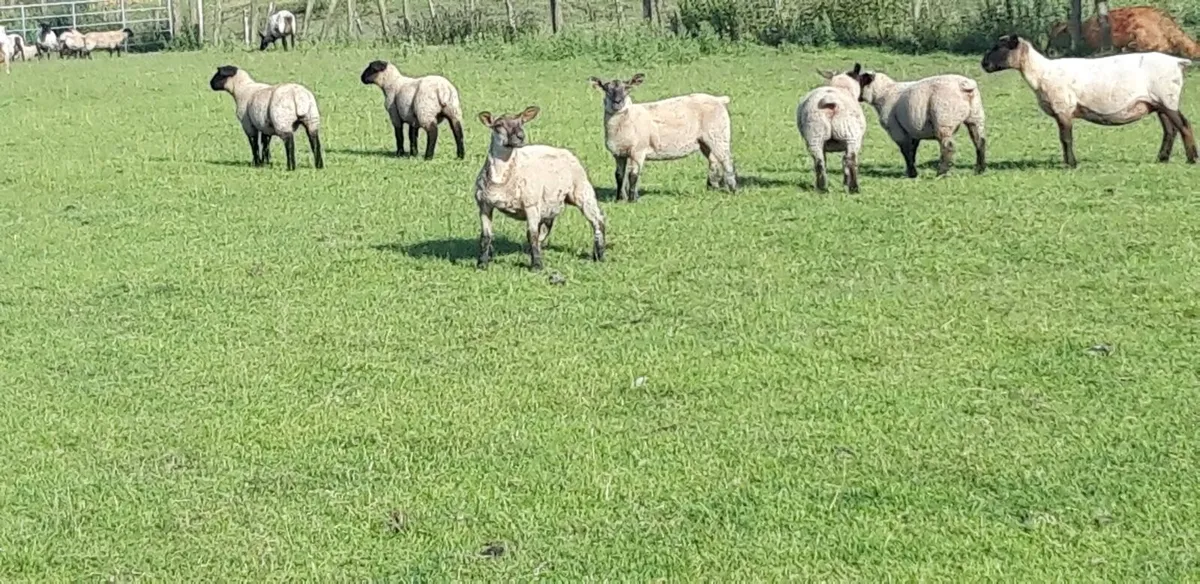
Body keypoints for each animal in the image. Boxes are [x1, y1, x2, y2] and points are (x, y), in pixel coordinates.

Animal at [474, 106, 606, 271]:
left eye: (521, 122)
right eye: (499, 125)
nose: (521, 136)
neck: (501, 179)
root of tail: (565, 151)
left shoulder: (531, 204)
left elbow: (533, 235)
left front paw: (536, 265)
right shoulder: (484, 204)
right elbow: (486, 236)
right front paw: (482, 263)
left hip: (581, 189)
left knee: (598, 220)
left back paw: (599, 255)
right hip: (550, 201)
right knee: (546, 226)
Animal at [588, 73, 736, 202]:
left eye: (627, 88)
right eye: (606, 89)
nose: (617, 102)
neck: (626, 119)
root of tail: (720, 100)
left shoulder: (638, 151)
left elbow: (633, 175)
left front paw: (632, 200)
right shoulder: (618, 153)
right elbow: (619, 175)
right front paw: (619, 199)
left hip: (718, 134)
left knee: (727, 161)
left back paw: (733, 189)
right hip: (705, 141)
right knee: (713, 161)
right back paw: (712, 188)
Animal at [795, 64, 867, 193]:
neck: (841, 86)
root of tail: (831, 101)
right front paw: (846, 182)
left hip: (815, 136)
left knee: (819, 162)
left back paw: (822, 187)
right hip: (851, 136)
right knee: (851, 160)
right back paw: (854, 188)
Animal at [851, 67, 986, 177]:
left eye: (859, 81)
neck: (884, 93)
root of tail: (964, 85)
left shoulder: (897, 130)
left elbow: (905, 151)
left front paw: (912, 173)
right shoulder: (913, 130)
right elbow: (912, 151)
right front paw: (912, 171)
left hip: (944, 119)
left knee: (948, 146)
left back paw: (941, 172)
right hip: (976, 117)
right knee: (980, 141)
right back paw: (979, 169)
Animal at [981, 34, 1197, 167]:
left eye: (1000, 47)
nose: (984, 64)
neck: (1041, 72)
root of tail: (1178, 62)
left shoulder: (1063, 107)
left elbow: (1066, 138)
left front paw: (1071, 164)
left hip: (1167, 97)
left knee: (1184, 125)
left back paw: (1192, 158)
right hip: (1158, 103)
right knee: (1170, 130)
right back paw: (1162, 158)